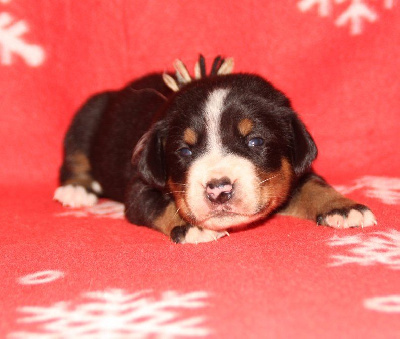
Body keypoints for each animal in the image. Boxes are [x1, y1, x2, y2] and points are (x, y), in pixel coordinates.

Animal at [54, 55, 376, 243]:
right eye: (184, 151)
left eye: (255, 142)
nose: (219, 189)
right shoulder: (139, 187)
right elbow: (161, 205)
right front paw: (191, 227)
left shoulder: (296, 171)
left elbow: (314, 186)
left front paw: (343, 208)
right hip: (87, 114)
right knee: (74, 157)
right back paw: (76, 189)